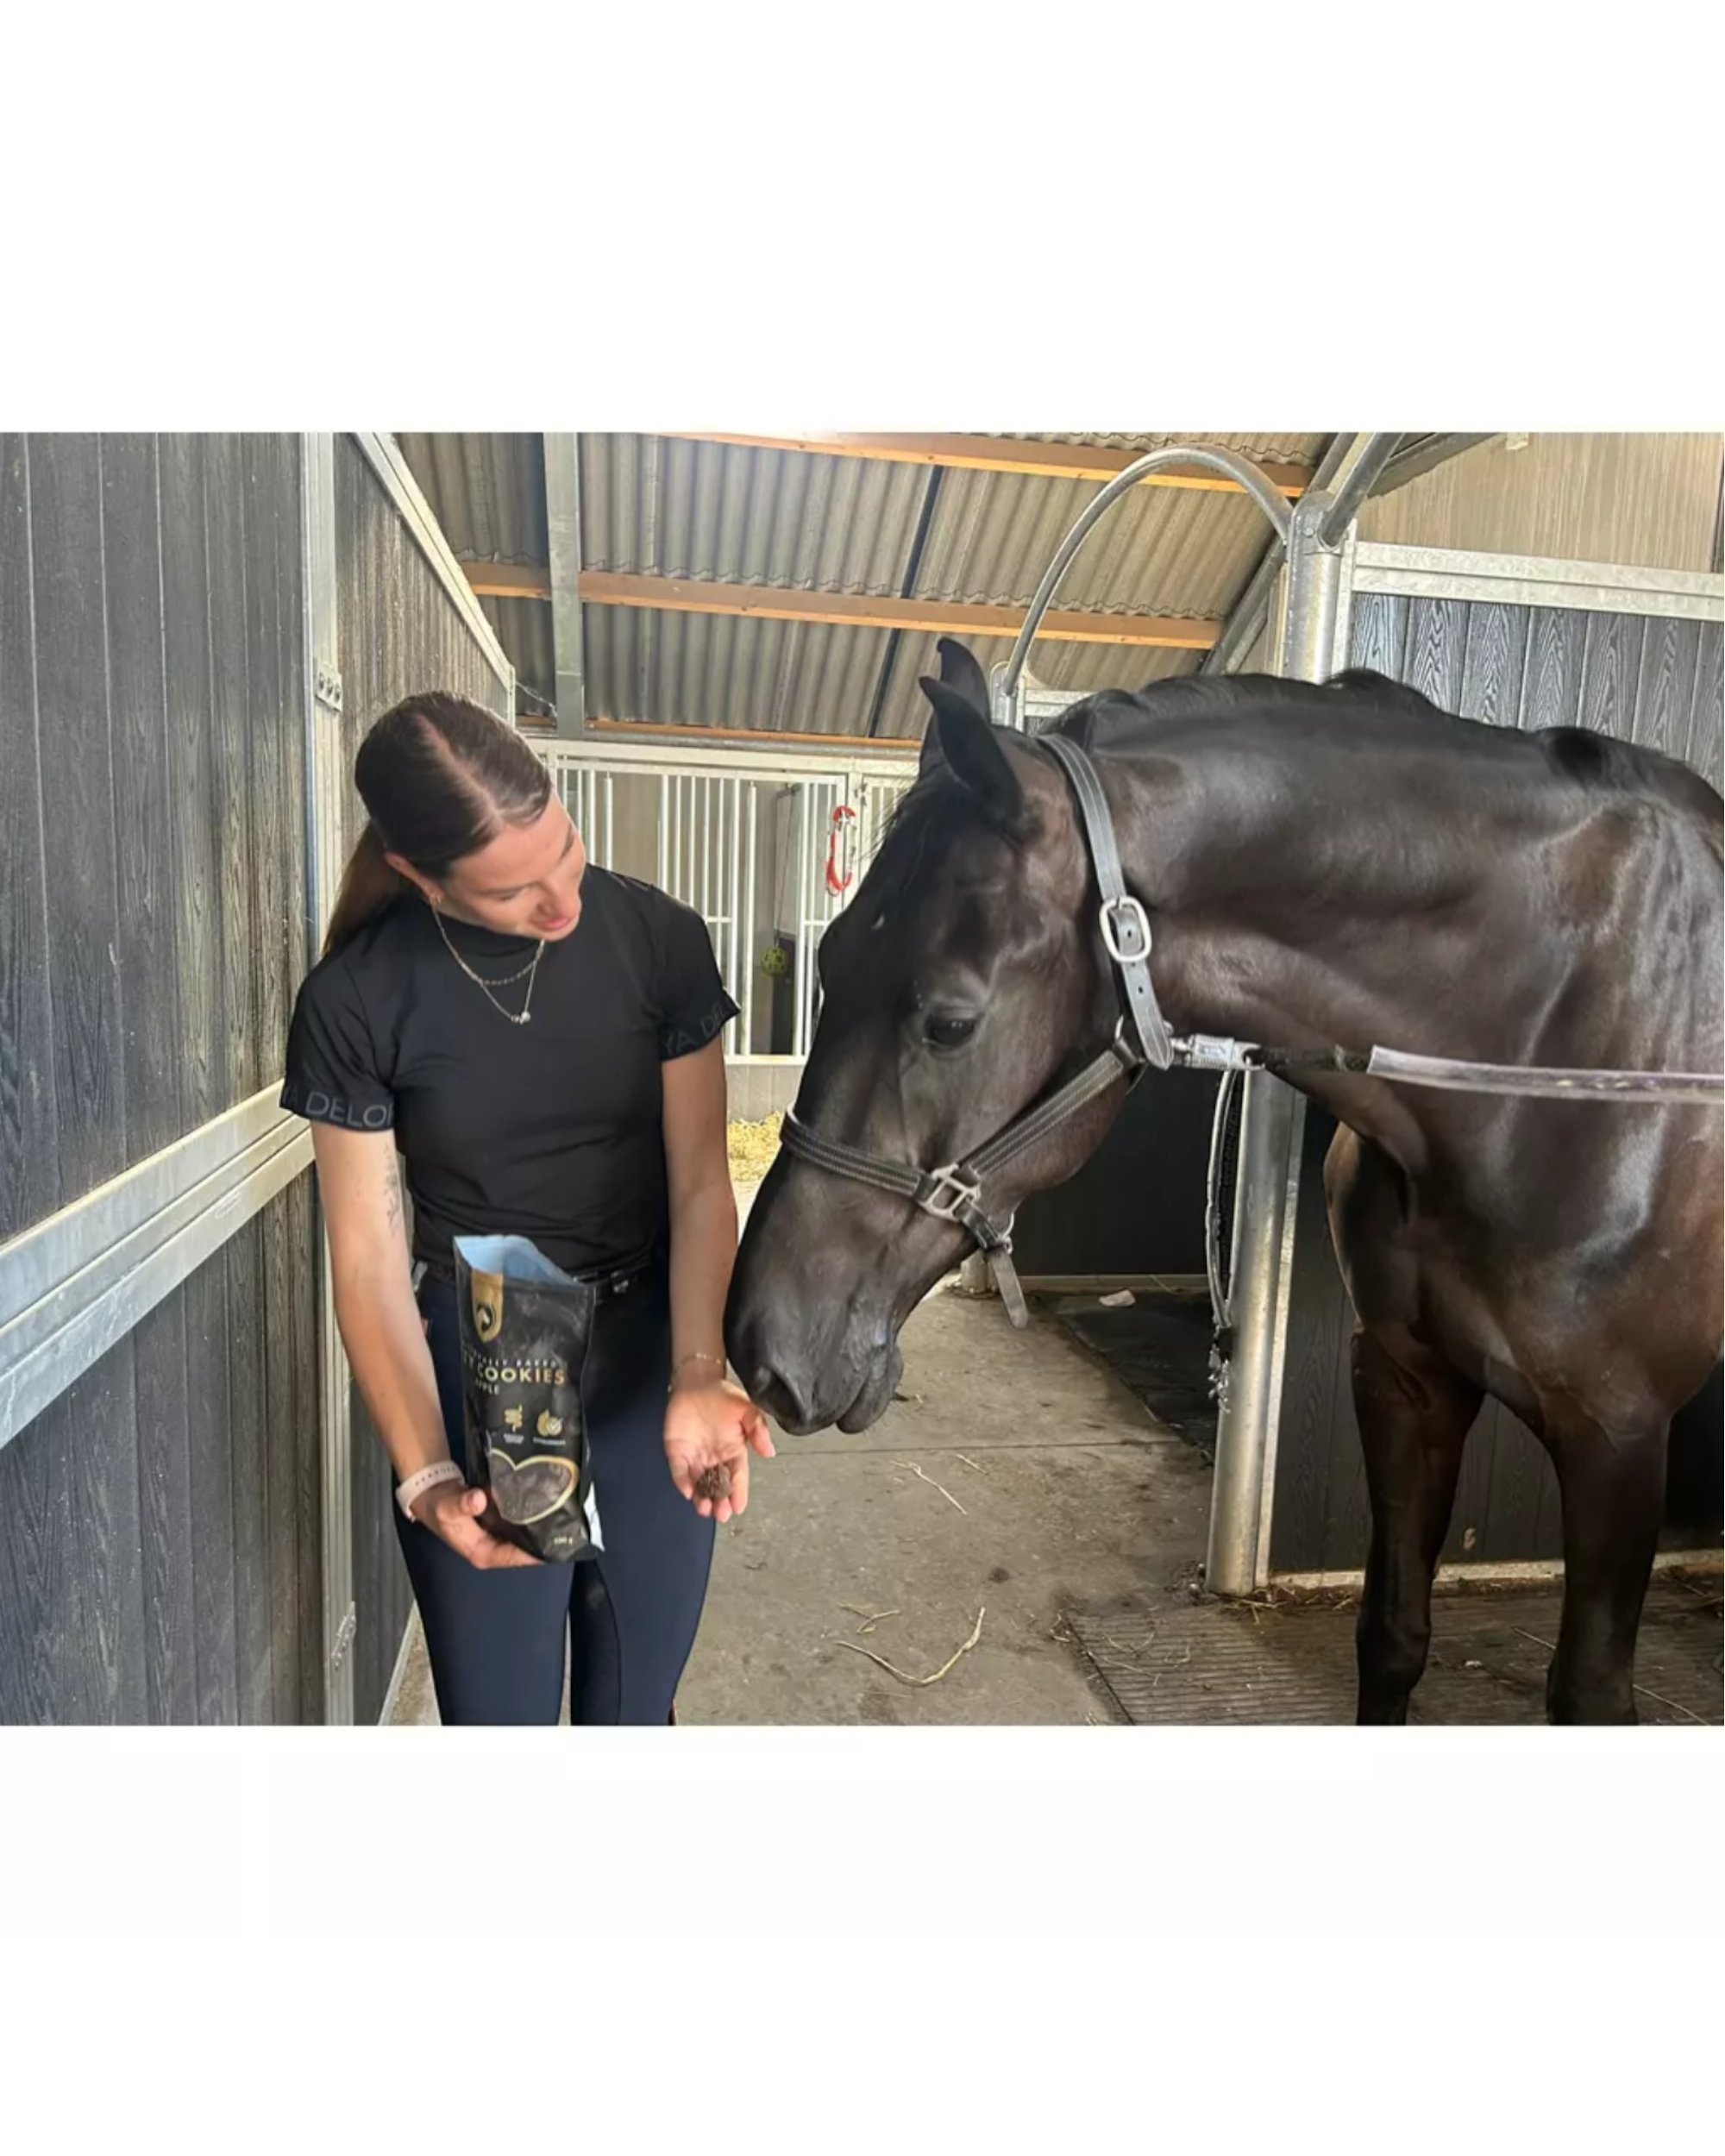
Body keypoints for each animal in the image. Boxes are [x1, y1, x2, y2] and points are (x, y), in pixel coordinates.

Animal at [725, 637, 1725, 1726]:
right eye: (825, 960)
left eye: (947, 1021)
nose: (758, 1348)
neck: (1556, 1052)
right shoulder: (1404, 1379)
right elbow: (1390, 1636)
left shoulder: (1615, 1436)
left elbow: (1585, 1692)